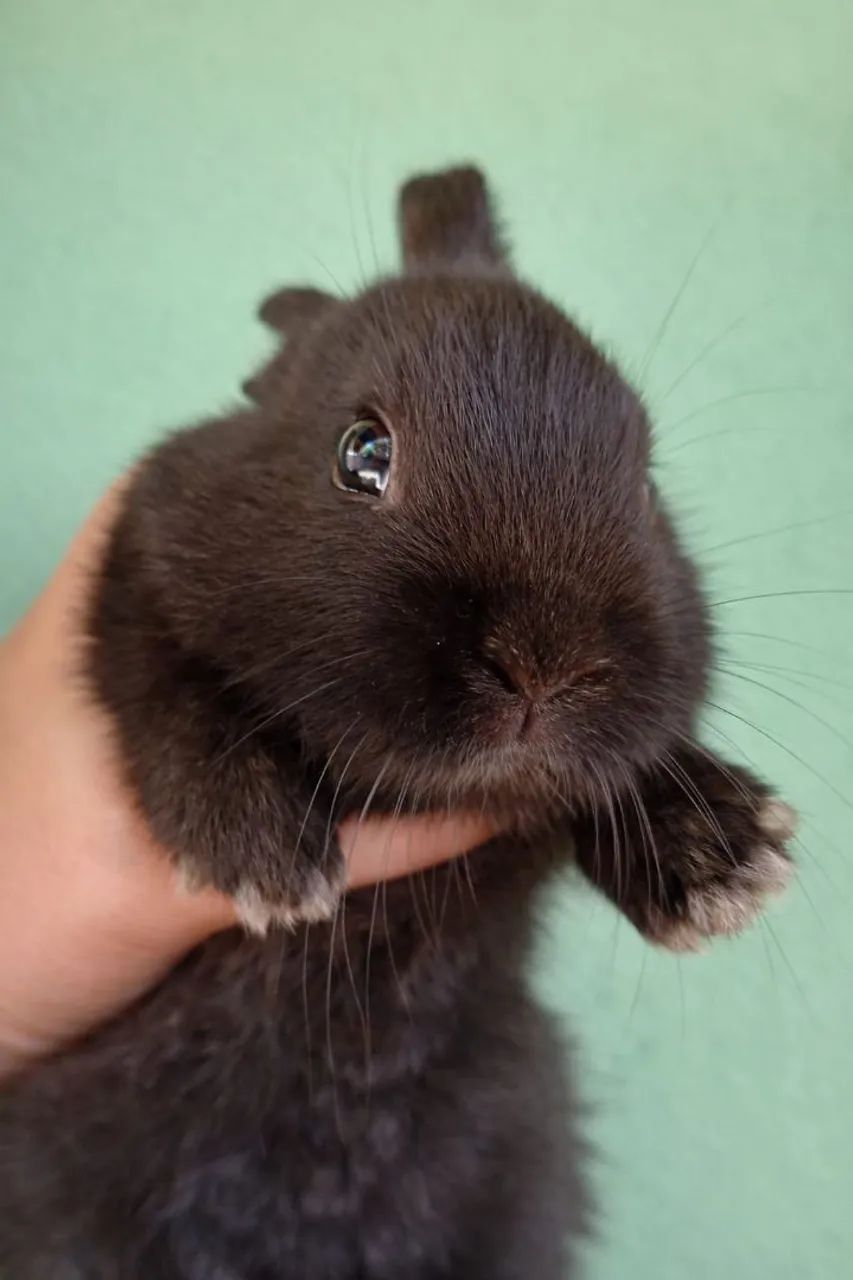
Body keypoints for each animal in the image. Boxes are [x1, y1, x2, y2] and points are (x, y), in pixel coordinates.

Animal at [0, 166, 796, 1279]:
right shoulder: (135, 569)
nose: (544, 660)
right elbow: (162, 689)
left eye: (646, 483)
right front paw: (264, 854)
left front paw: (721, 851)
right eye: (362, 452)